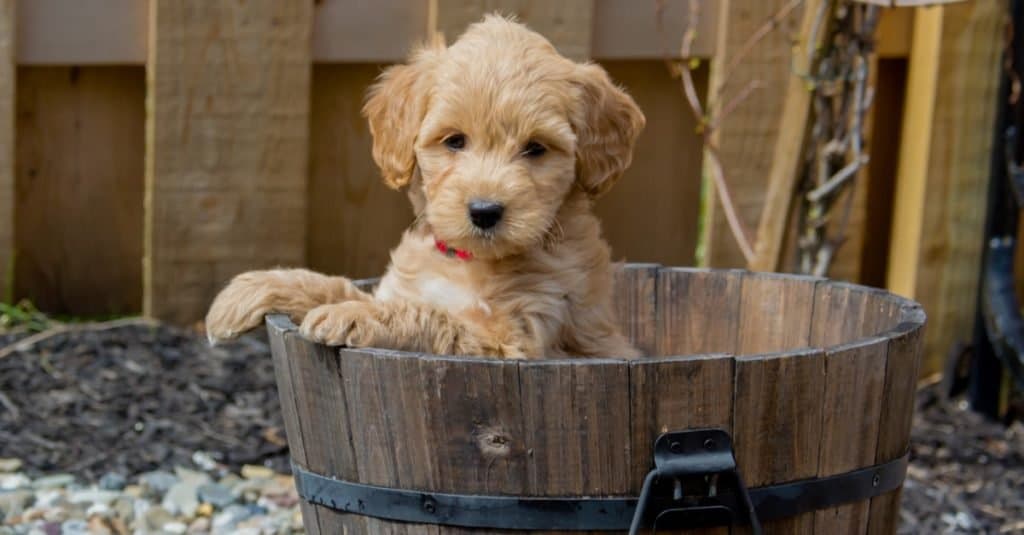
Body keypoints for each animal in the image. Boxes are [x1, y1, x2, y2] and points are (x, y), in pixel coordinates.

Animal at [203, 15, 643, 358]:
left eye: (536, 148)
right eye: (454, 141)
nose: (485, 212)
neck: (467, 261)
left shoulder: (513, 337)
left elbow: (430, 315)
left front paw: (354, 315)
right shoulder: (403, 289)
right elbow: (332, 285)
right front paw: (246, 291)